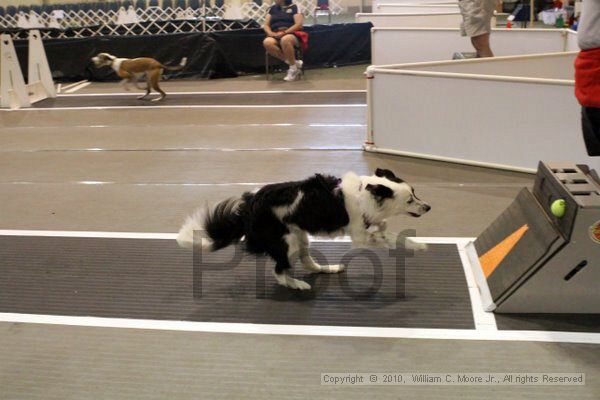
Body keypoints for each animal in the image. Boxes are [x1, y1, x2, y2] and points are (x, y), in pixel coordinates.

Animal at [175, 167, 432, 290]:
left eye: (415, 193)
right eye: (409, 200)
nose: (428, 207)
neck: (366, 194)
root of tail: (247, 207)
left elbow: (387, 230)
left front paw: (415, 244)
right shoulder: (359, 236)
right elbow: (386, 236)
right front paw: (414, 246)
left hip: (300, 237)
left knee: (307, 262)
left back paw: (328, 269)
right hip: (287, 243)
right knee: (279, 272)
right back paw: (298, 285)